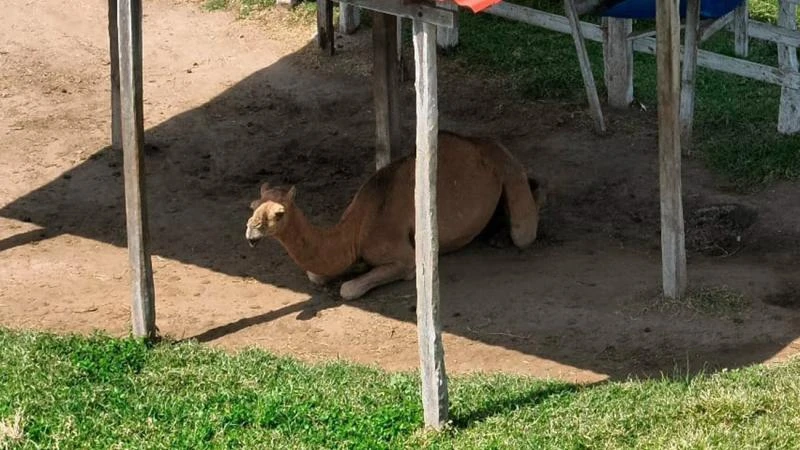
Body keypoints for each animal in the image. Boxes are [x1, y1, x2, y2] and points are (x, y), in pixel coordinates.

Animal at [245, 130, 546, 300]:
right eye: (253, 205)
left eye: (279, 213)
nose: (250, 231)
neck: (356, 230)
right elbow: (316, 275)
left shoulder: (403, 256)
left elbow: (349, 289)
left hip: (507, 169)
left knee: (524, 229)